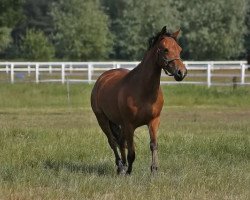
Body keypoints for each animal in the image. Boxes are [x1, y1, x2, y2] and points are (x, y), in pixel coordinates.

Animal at [91, 25, 187, 174]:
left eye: (180, 49)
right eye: (165, 49)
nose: (181, 72)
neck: (143, 90)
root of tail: (102, 79)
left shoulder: (153, 121)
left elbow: (153, 145)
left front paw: (154, 169)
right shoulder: (129, 125)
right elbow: (132, 151)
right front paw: (129, 172)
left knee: (120, 141)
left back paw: (123, 166)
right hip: (102, 120)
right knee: (113, 142)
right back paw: (121, 167)